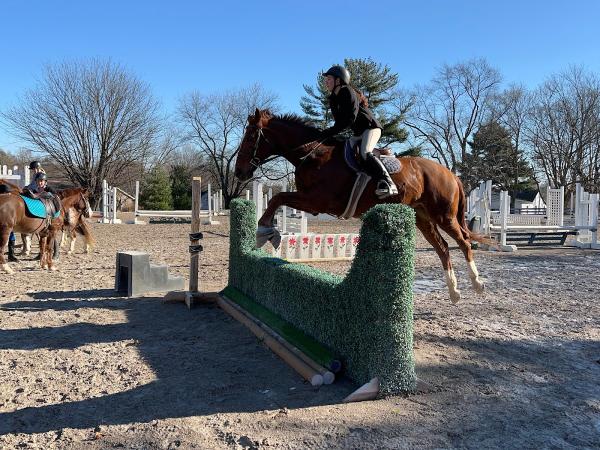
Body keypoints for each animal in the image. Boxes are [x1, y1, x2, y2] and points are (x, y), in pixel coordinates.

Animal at [233, 108, 488, 304]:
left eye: (251, 137)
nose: (239, 172)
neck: (312, 154)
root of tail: (450, 174)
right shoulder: (310, 201)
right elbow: (278, 199)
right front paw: (267, 231)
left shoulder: (317, 201)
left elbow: (277, 198)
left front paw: (264, 230)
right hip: (423, 218)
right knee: (443, 248)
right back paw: (454, 293)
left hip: (444, 215)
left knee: (464, 243)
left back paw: (477, 284)